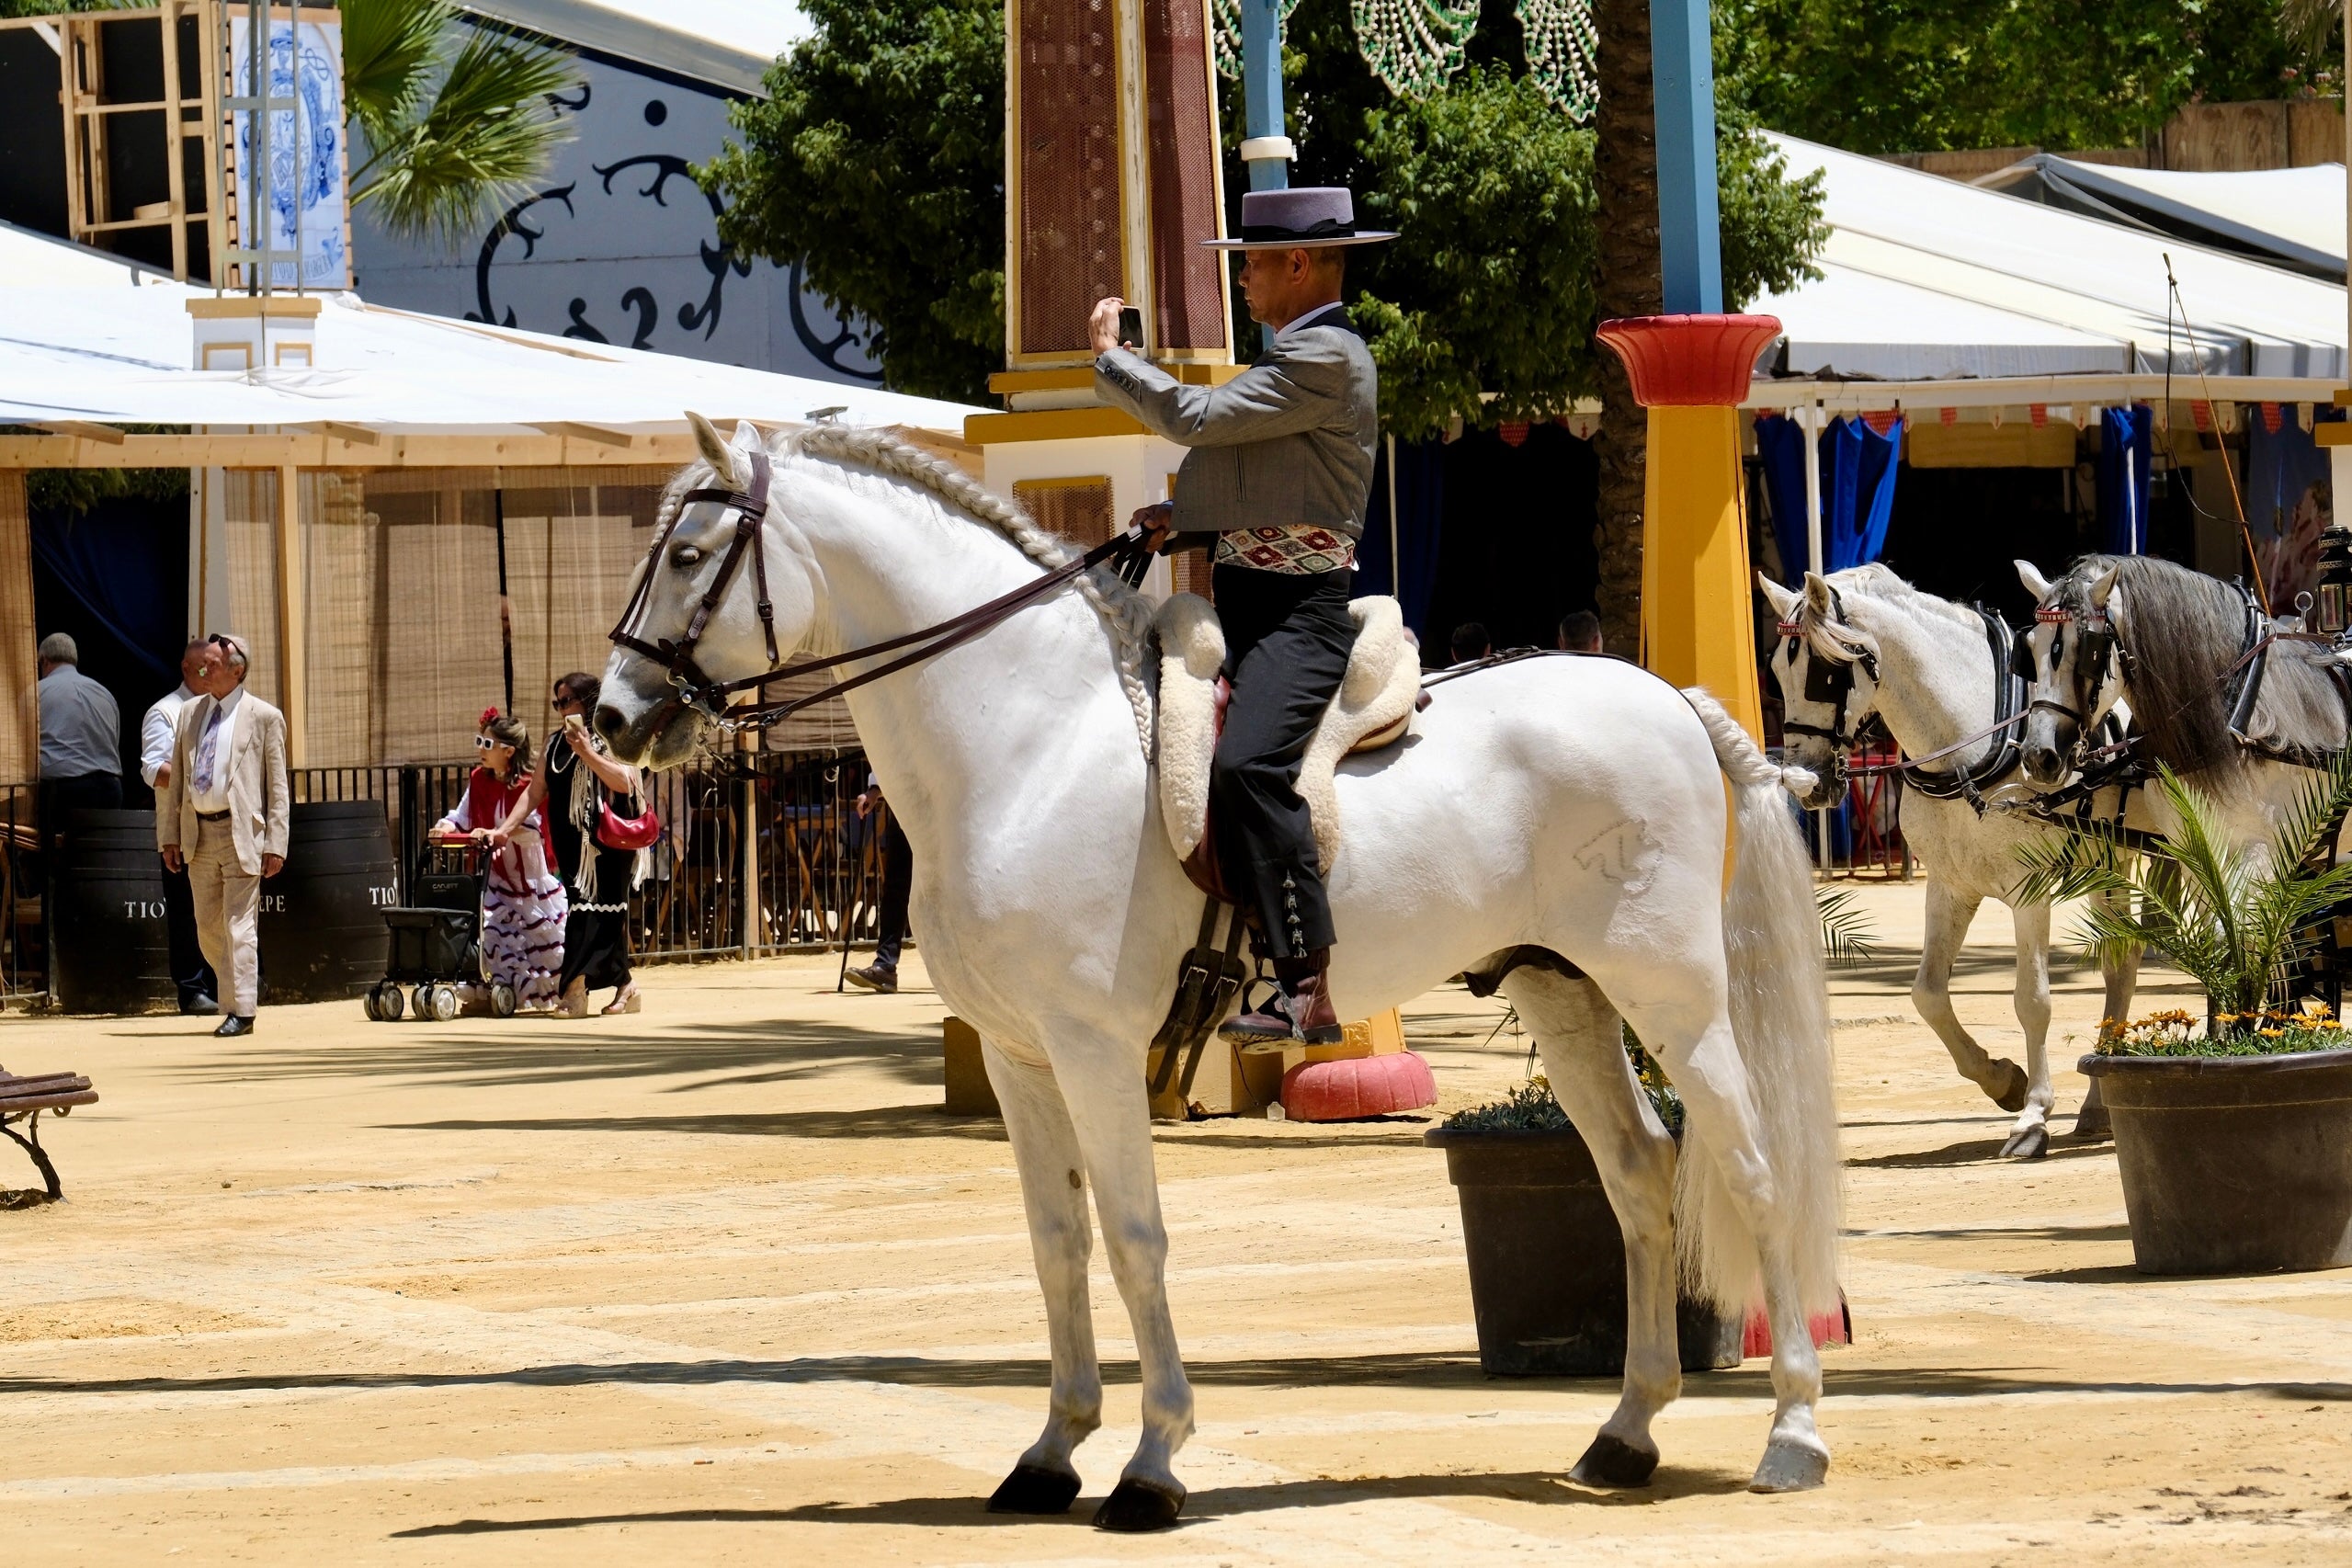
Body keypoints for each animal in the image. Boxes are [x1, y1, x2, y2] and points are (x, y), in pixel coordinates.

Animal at [593, 415, 1846, 1526]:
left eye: (690, 556)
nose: (609, 717)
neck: (1029, 741)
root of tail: (1665, 697)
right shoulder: (1019, 1056)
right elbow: (1057, 1242)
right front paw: (1051, 1450)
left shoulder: (1096, 1049)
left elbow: (1133, 1236)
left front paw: (1152, 1463)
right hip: (1564, 988)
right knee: (1639, 1173)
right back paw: (1625, 1433)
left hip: (1673, 999)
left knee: (1750, 1169)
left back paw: (1793, 1431)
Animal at [1759, 567, 2140, 1155]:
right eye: (1778, 668)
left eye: (1826, 673)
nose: (1806, 782)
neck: (1972, 742)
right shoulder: (1949, 885)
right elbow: (1928, 995)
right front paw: (2003, 1080)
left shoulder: (2029, 890)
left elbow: (2032, 1000)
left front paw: (2033, 1116)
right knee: (2121, 960)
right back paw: (2098, 1103)